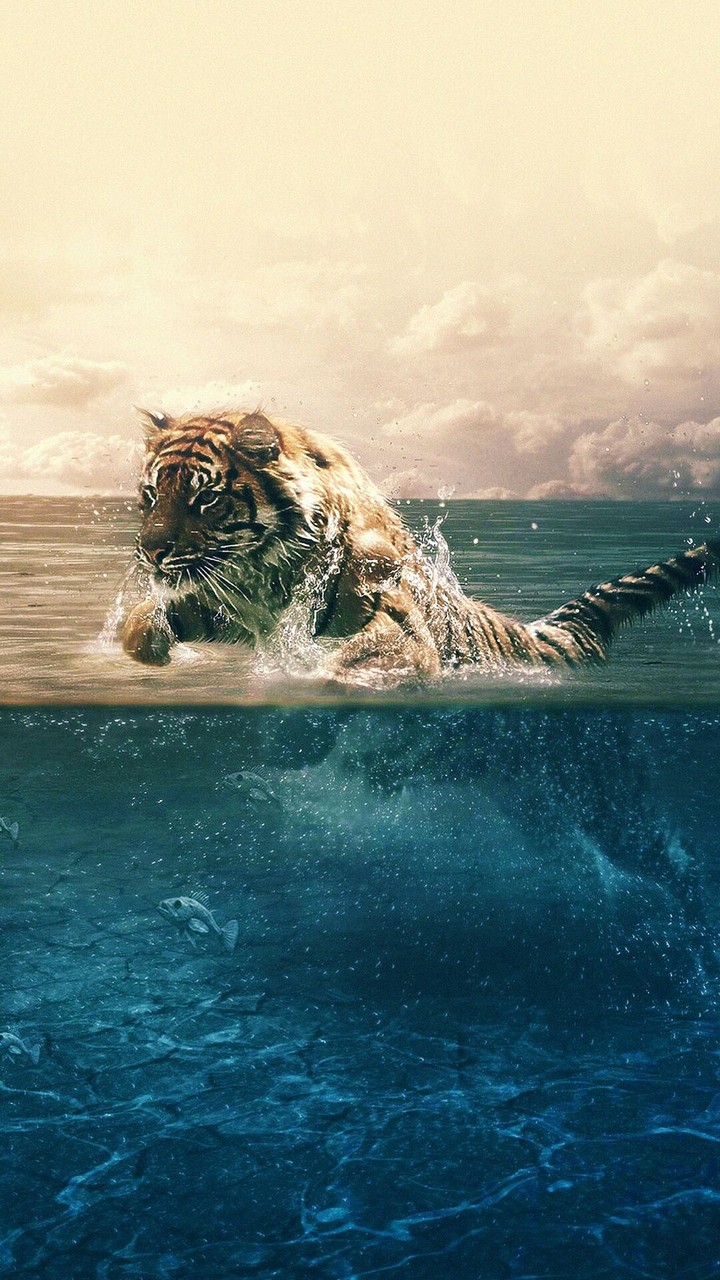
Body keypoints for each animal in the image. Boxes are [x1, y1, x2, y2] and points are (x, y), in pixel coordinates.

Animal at [119, 407, 720, 684]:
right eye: (150, 495)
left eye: (205, 499)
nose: (150, 552)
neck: (266, 574)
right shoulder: (237, 610)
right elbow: (147, 618)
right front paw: (148, 646)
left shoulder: (396, 622)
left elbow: (363, 659)